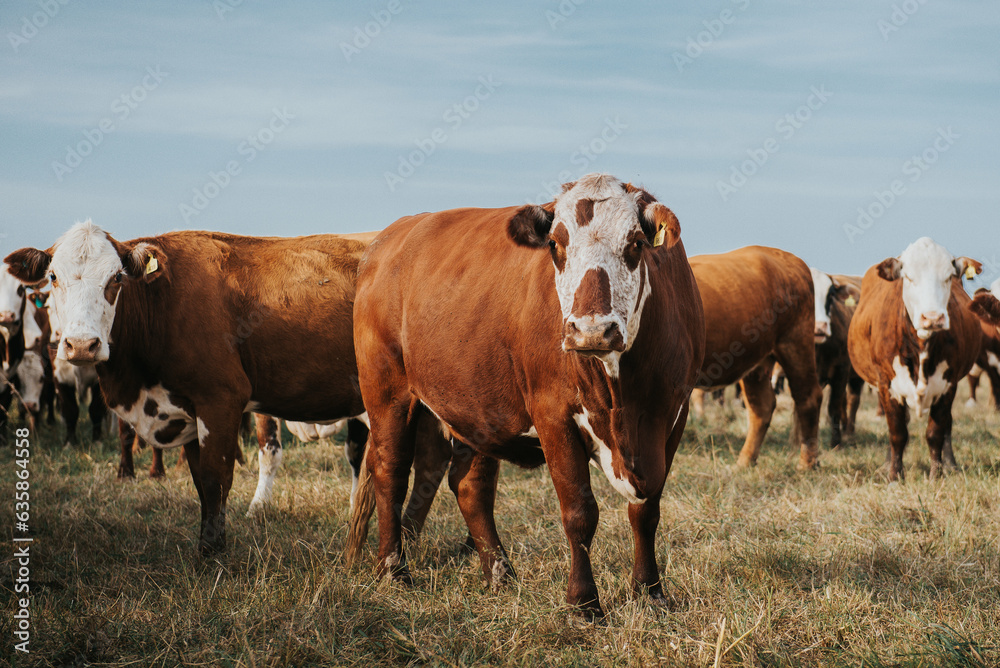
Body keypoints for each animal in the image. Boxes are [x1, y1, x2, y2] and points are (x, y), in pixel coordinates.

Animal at [3, 222, 450, 556]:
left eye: (115, 278)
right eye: (53, 277)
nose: (81, 345)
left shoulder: (220, 400)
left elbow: (218, 479)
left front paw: (212, 554)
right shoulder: (185, 410)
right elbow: (202, 483)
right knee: (431, 463)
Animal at [348, 175, 708, 620]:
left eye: (637, 243)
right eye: (555, 244)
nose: (591, 330)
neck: (622, 396)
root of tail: (385, 242)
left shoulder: (673, 416)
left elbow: (646, 510)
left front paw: (649, 590)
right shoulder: (553, 415)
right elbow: (579, 512)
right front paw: (584, 601)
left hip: (476, 405)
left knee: (470, 487)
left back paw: (500, 573)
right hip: (387, 393)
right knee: (390, 474)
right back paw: (393, 570)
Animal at [692, 245, 824, 470]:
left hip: (795, 343)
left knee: (808, 397)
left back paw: (807, 463)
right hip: (756, 362)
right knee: (761, 407)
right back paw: (745, 461)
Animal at [848, 237, 980, 478]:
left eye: (948, 276)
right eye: (908, 277)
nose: (933, 317)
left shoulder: (948, 385)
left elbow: (936, 433)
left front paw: (936, 475)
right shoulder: (886, 385)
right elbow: (897, 433)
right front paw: (894, 475)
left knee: (947, 426)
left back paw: (950, 464)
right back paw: (887, 464)